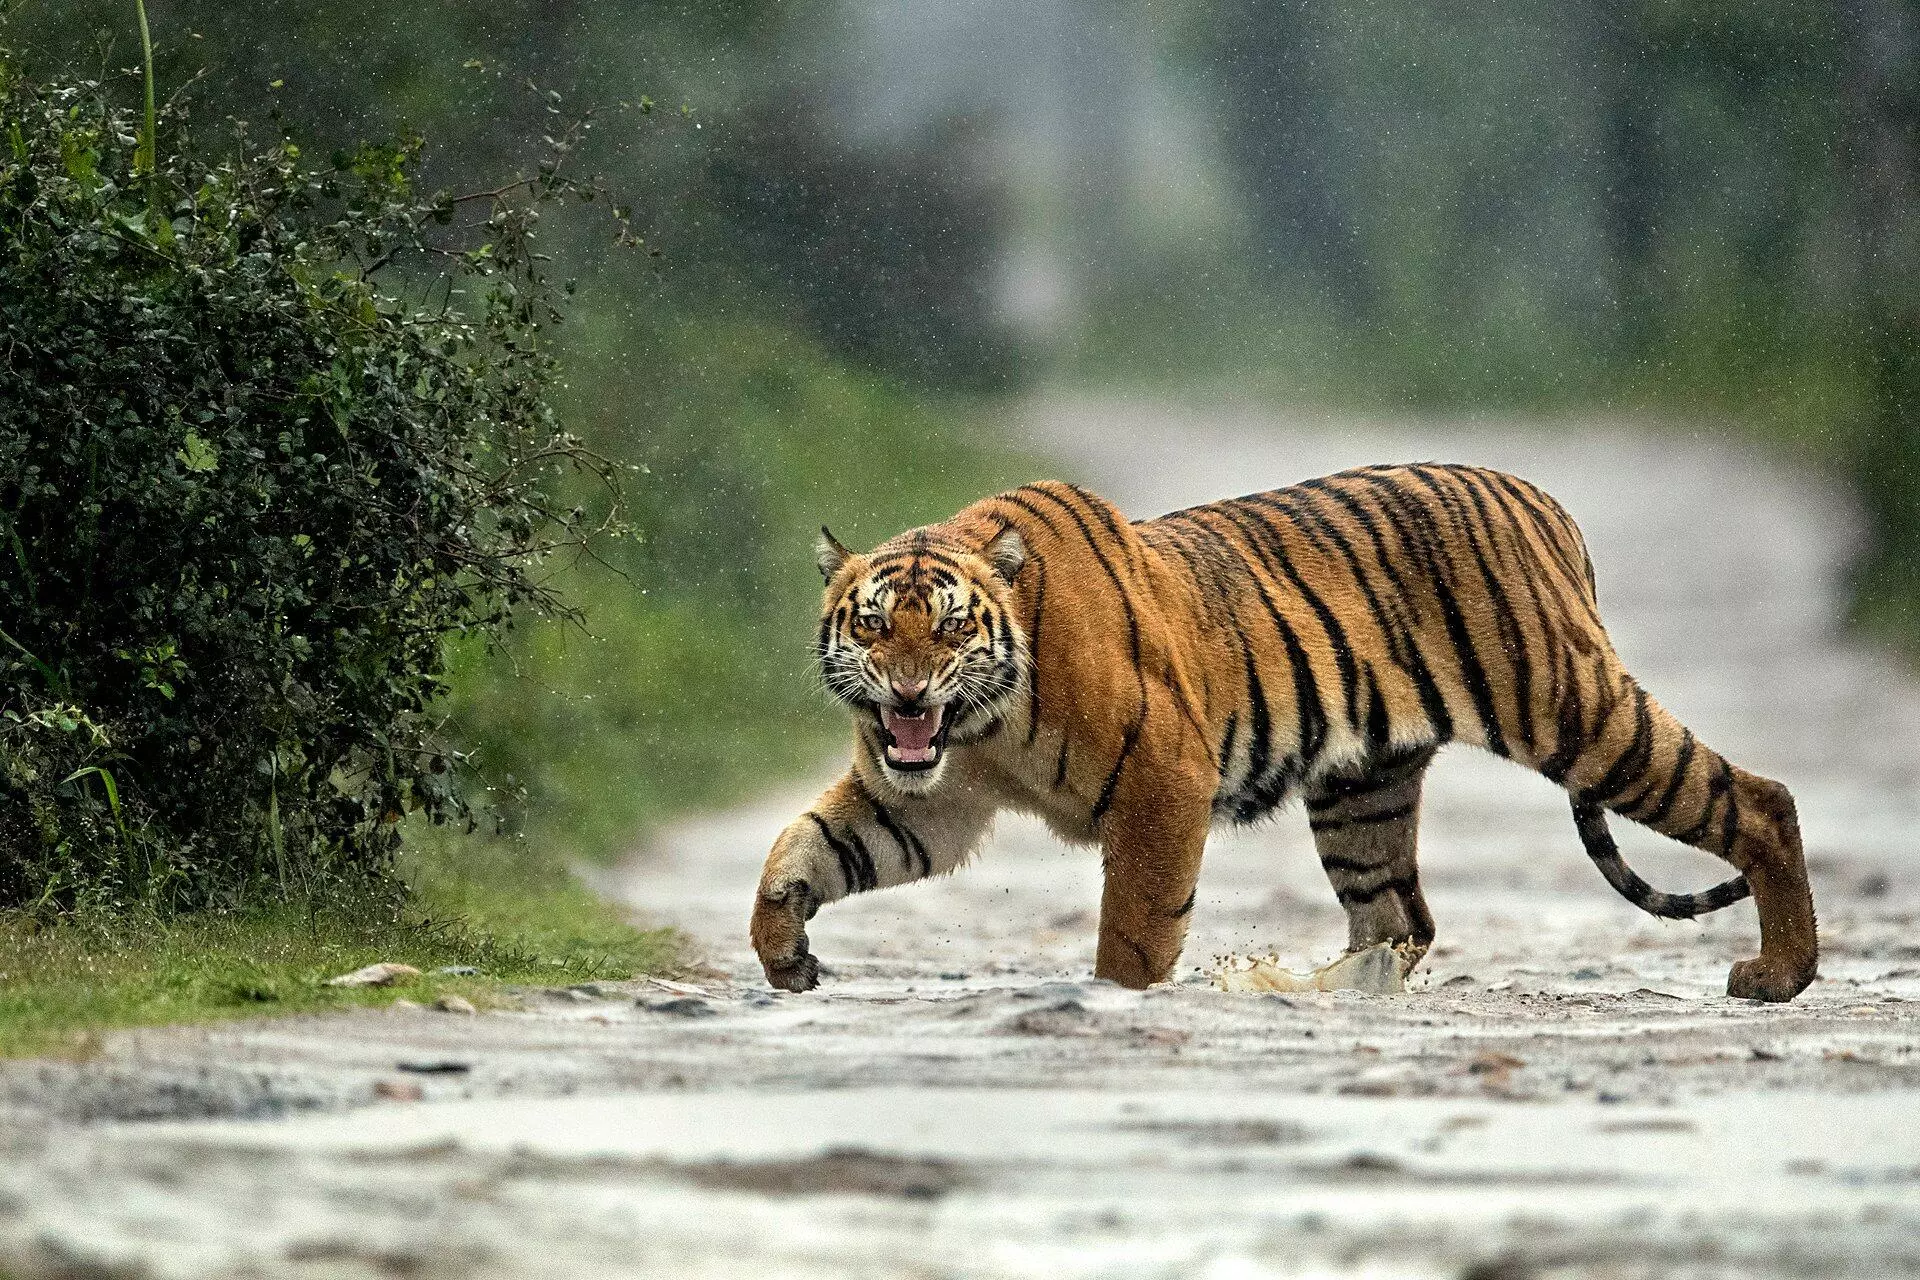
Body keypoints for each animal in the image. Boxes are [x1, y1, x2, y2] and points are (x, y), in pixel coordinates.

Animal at [749, 467, 1818, 1002]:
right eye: (873, 625)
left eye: (949, 628)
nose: (908, 690)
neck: (981, 725)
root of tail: (1544, 501)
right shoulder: (927, 802)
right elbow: (801, 848)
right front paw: (784, 957)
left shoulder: (1163, 780)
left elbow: (1134, 928)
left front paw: (1117, 1001)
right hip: (1363, 788)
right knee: (1399, 918)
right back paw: (1325, 991)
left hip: (1573, 711)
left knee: (1758, 798)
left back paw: (1780, 976)